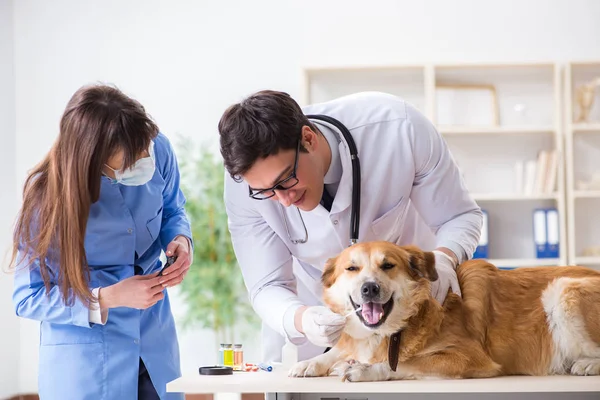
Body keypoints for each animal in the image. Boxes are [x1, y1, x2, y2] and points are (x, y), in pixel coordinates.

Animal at [288, 241, 600, 382]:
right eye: (351, 268)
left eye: (388, 265)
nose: (369, 289)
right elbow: (340, 349)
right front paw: (311, 362)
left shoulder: (471, 359)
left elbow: (403, 363)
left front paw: (365, 370)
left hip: (563, 290)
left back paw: (586, 364)